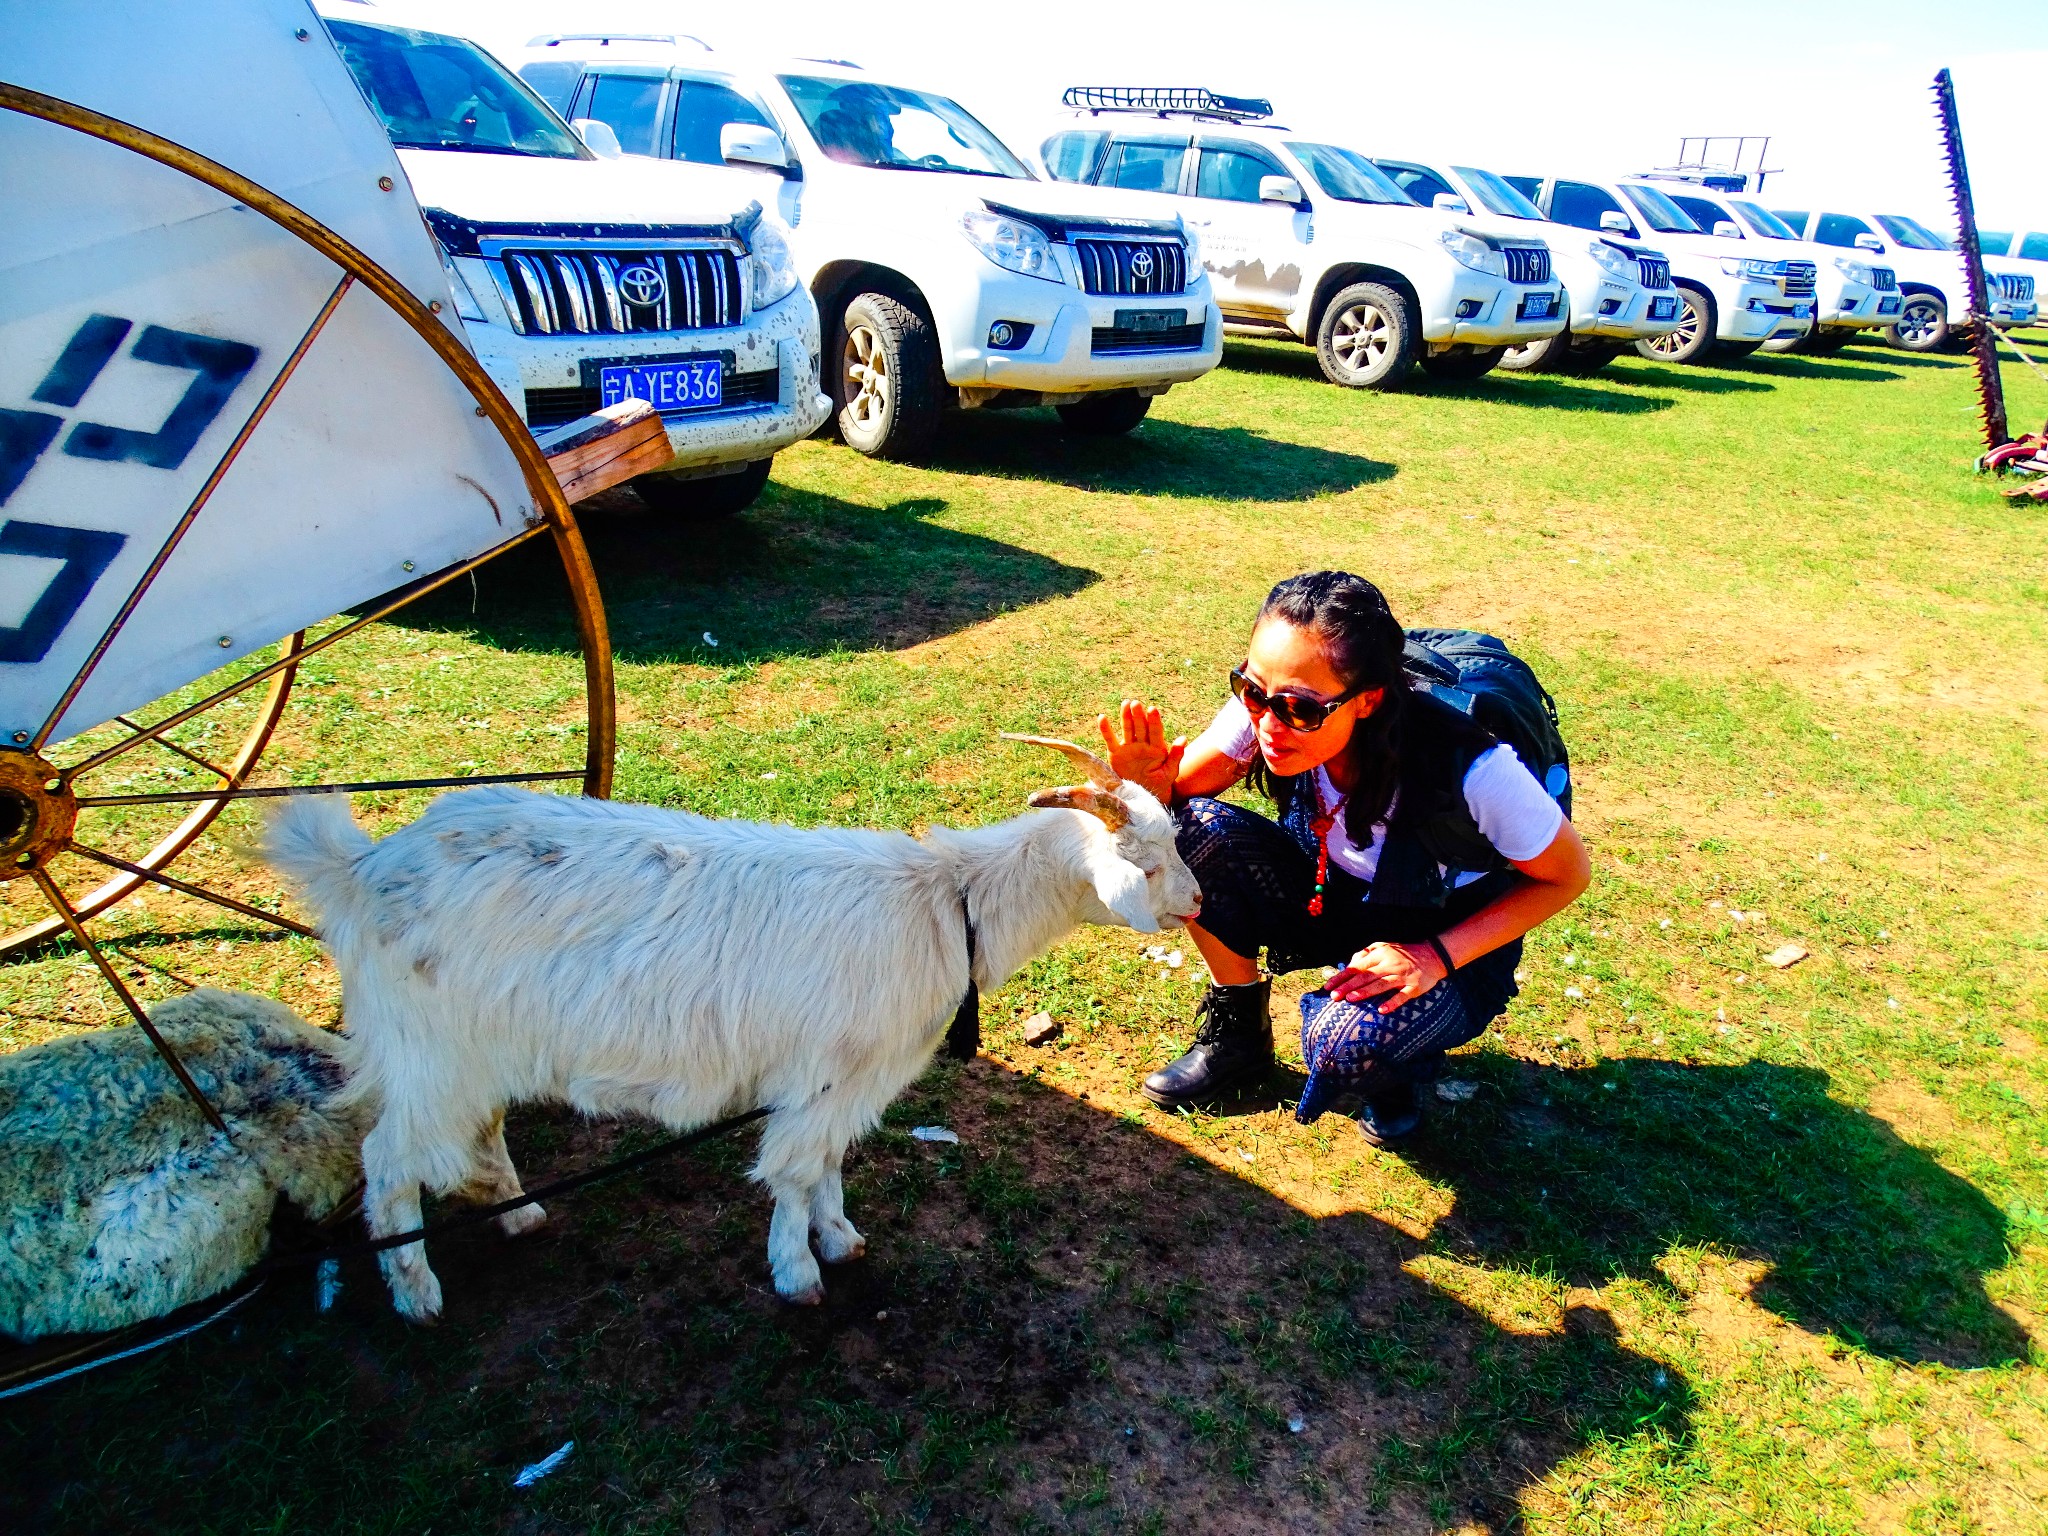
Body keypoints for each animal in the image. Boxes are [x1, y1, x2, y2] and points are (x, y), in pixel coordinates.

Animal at [270, 733, 1196, 1327]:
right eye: (1146, 864)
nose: (1193, 904)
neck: (945, 905)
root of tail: (362, 868)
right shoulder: (824, 1074)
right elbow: (793, 1172)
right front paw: (798, 1272)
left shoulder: (844, 1084)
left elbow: (827, 1166)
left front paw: (840, 1238)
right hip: (428, 1050)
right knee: (390, 1161)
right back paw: (416, 1292)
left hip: (475, 1047)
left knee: (480, 1128)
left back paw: (519, 1214)